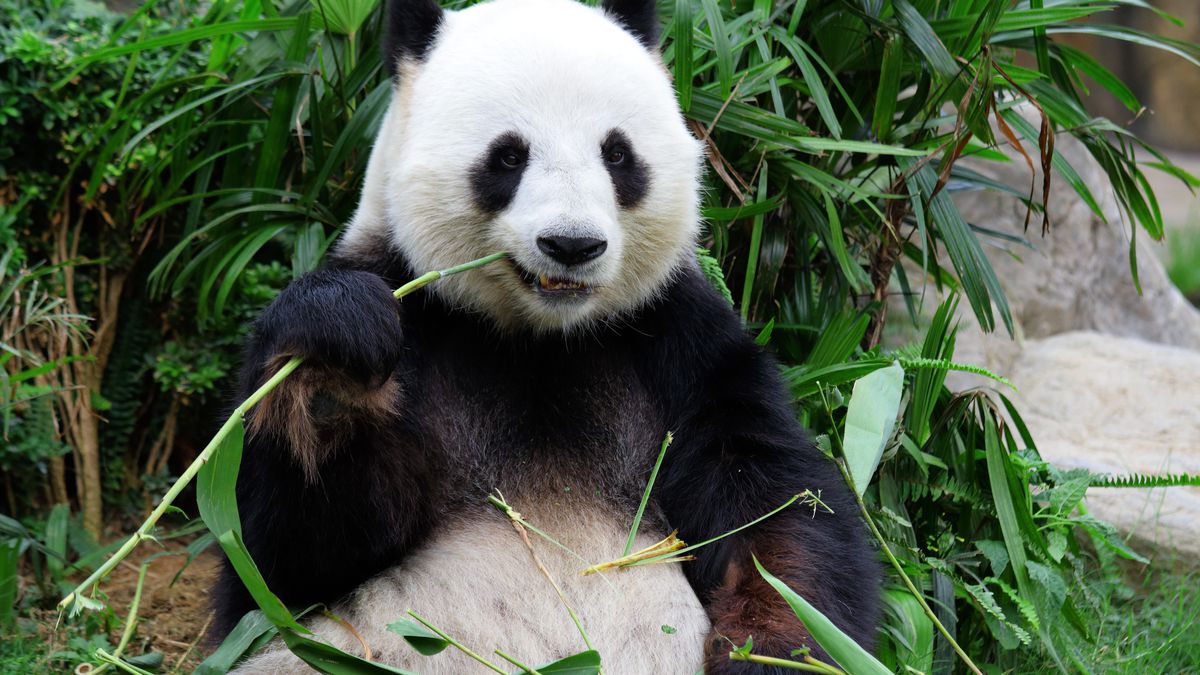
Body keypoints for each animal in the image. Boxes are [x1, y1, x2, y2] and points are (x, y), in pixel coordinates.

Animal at [208, 0, 883, 667]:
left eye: (617, 154)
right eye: (509, 156)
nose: (572, 245)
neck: (540, 339)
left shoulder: (678, 339)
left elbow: (775, 507)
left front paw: (772, 644)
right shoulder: (414, 305)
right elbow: (279, 562)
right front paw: (333, 366)